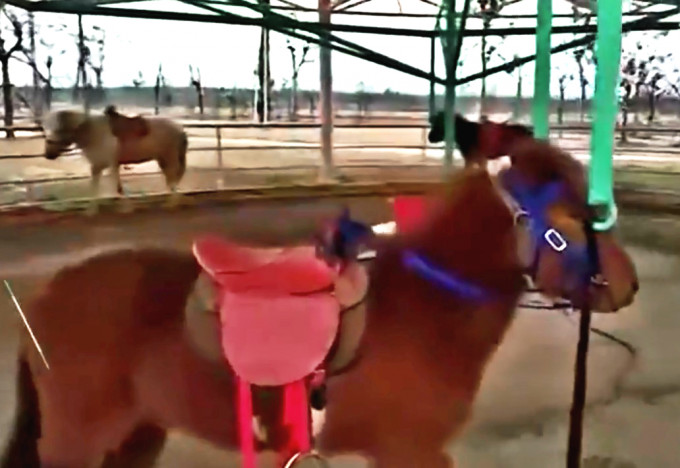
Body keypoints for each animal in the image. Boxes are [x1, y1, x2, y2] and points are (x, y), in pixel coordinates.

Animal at [1, 130, 636, 466]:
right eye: (567, 213)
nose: (625, 284)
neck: (421, 308)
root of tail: (49, 295)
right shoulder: (411, 452)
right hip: (79, 439)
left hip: (138, 434)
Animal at [42, 106, 189, 214]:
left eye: (59, 130)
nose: (48, 154)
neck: (95, 133)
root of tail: (179, 128)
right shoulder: (97, 166)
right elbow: (95, 186)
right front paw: (91, 210)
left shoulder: (110, 165)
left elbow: (115, 185)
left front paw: (125, 208)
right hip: (162, 159)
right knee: (171, 179)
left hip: (169, 158)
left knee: (172, 179)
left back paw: (171, 204)